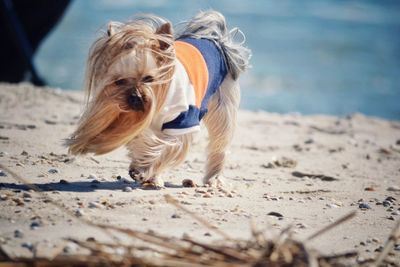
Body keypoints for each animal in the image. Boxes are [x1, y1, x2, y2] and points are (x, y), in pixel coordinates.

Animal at [67, 9, 252, 186]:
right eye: (120, 81)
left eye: (149, 78)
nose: (135, 97)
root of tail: (214, 38)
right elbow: (145, 138)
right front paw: (147, 170)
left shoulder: (184, 120)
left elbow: (165, 145)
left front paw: (142, 168)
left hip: (222, 102)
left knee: (220, 140)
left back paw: (213, 178)